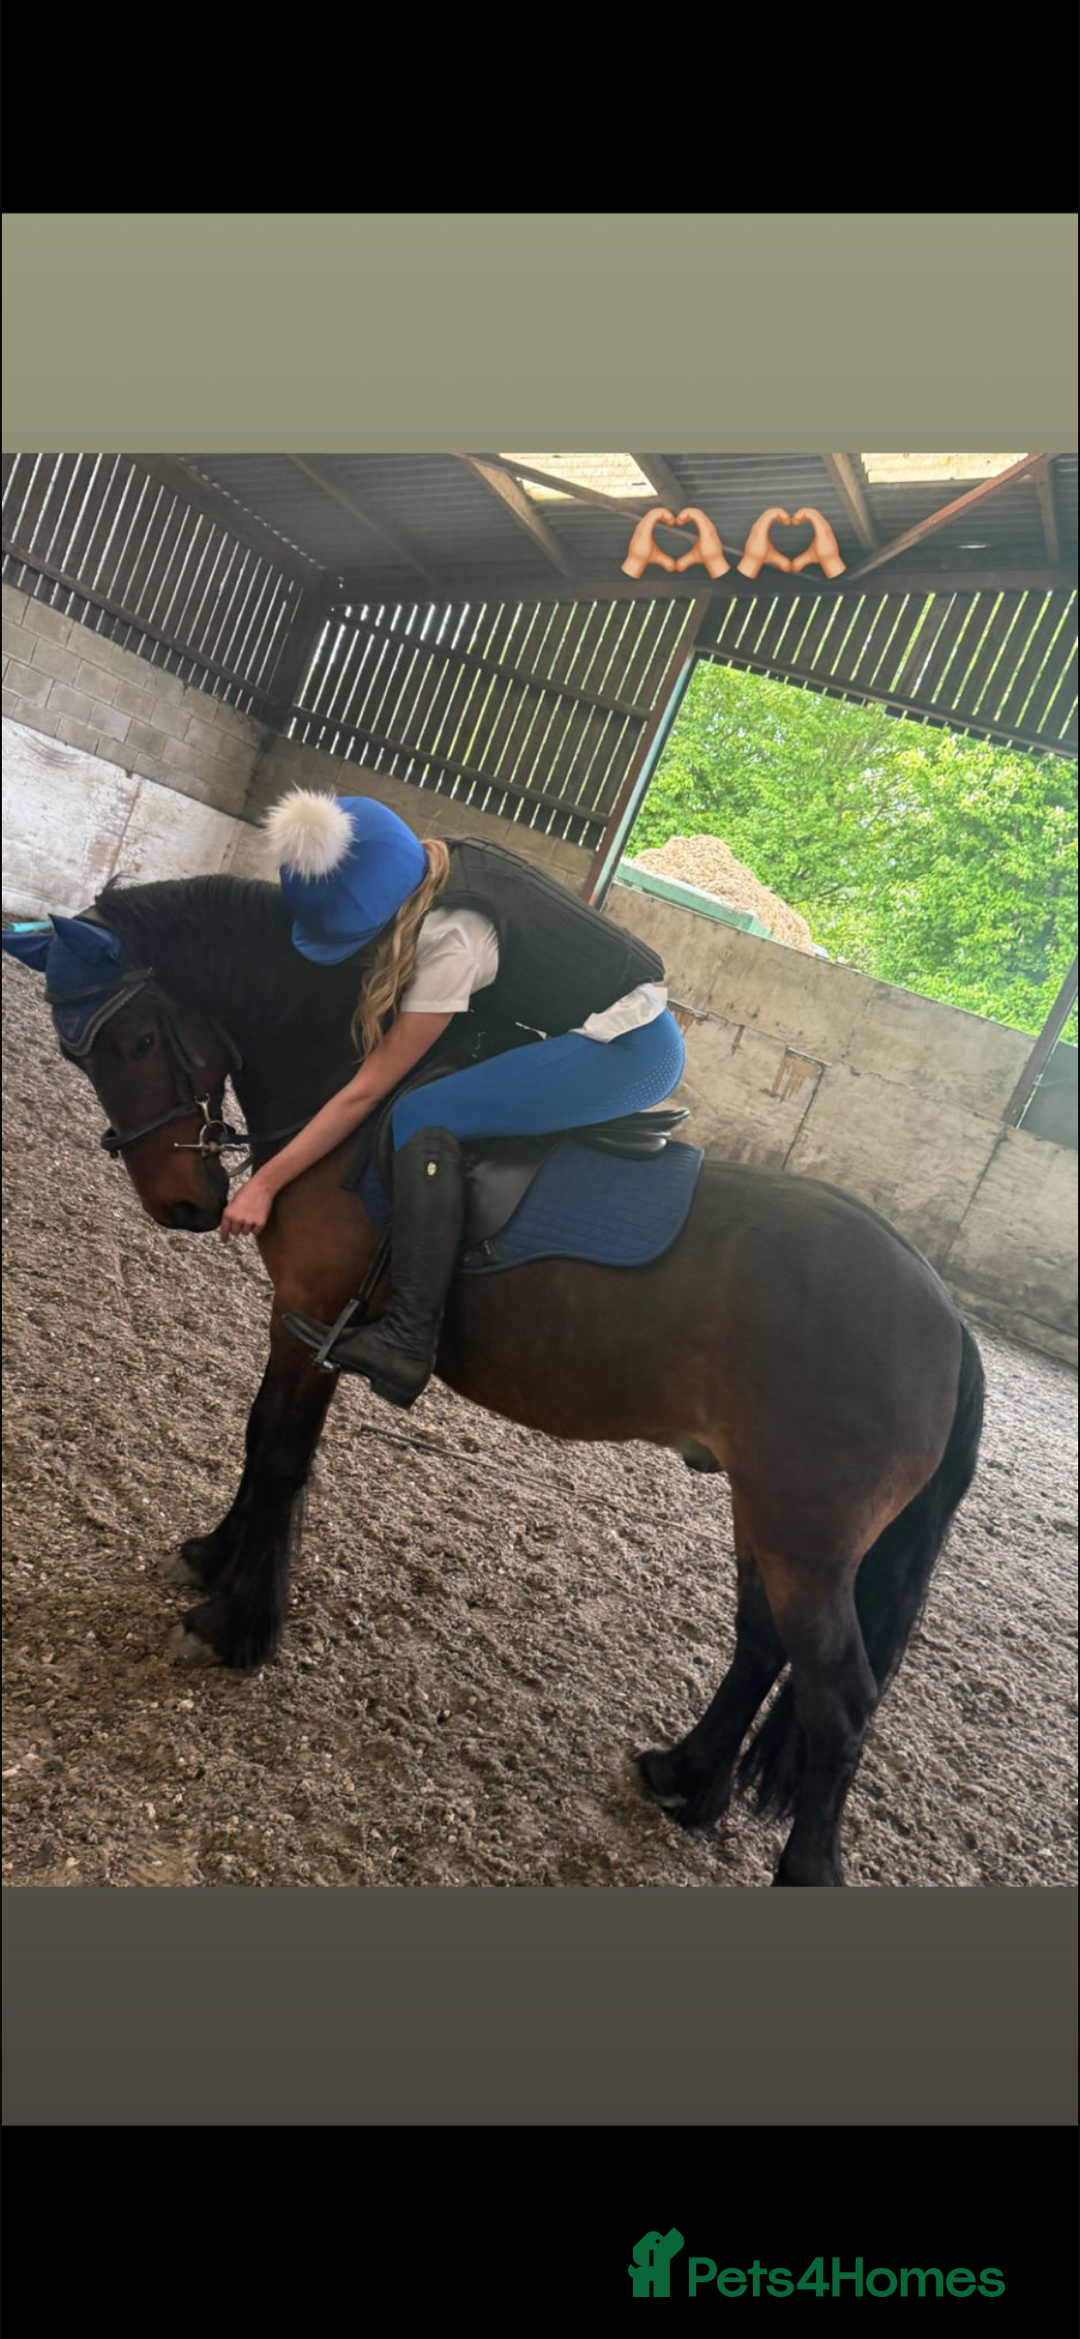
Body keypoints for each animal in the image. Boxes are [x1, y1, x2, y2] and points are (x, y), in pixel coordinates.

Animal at [6, 872, 985, 1887]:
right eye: (80, 1054)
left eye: (137, 1041)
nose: (182, 1207)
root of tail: (946, 1317)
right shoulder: (296, 1319)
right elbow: (257, 1440)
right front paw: (212, 1555)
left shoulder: (310, 1317)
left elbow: (278, 1455)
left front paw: (233, 1621)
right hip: (770, 1510)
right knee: (762, 1642)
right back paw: (686, 1776)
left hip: (808, 1532)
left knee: (840, 1697)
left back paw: (794, 1859)